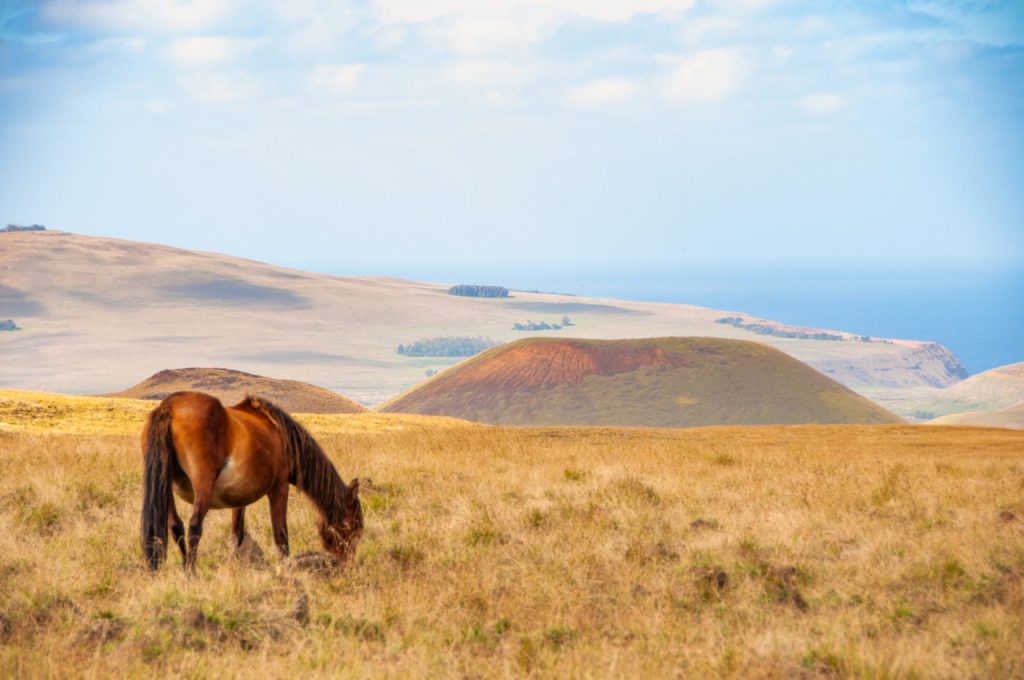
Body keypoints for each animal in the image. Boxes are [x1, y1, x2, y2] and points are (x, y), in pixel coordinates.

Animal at [139, 391, 363, 571]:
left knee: (176, 526)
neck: (280, 435)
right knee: (194, 527)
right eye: (354, 526)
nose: (348, 565)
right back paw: (191, 573)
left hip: (166, 486)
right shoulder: (279, 488)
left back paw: (186, 566)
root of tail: (168, 407)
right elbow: (281, 536)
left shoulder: (239, 499)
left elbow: (236, 535)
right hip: (203, 484)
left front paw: (231, 566)